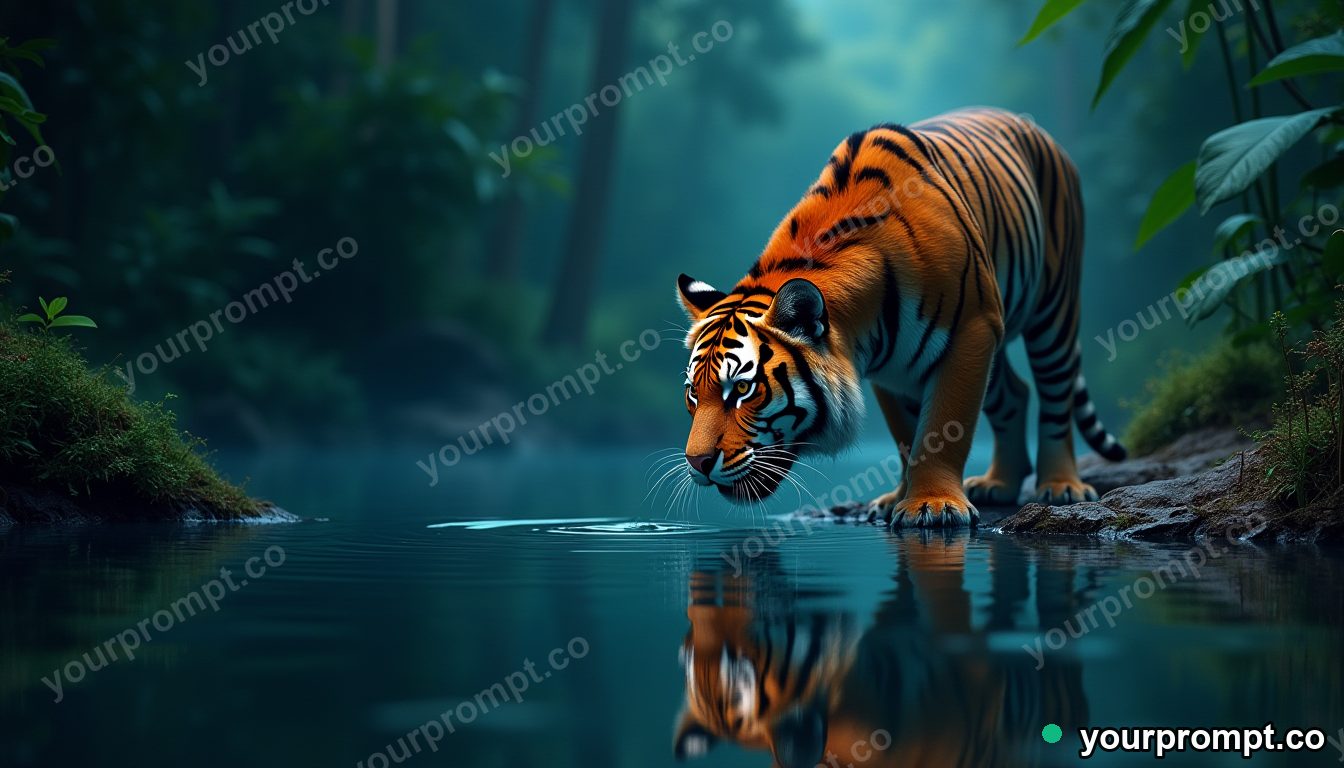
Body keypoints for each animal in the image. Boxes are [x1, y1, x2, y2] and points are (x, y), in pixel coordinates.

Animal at [677, 107, 1126, 527]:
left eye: (743, 390)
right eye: (694, 394)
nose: (697, 463)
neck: (863, 330)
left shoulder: (971, 330)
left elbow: (943, 426)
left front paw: (934, 505)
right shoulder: (893, 366)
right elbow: (907, 435)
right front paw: (899, 499)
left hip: (1054, 306)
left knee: (1055, 391)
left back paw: (1061, 485)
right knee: (1015, 393)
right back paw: (998, 484)